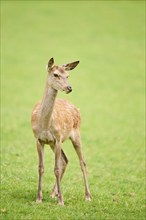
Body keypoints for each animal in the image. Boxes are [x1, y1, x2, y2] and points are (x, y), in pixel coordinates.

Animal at [31, 57, 91, 205]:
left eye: (68, 75)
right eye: (56, 74)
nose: (69, 87)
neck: (45, 124)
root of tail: (75, 107)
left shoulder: (58, 138)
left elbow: (56, 168)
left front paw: (61, 201)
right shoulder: (38, 139)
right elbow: (41, 168)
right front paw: (39, 198)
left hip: (76, 134)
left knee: (82, 162)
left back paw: (87, 196)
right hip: (53, 143)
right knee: (65, 160)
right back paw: (54, 193)